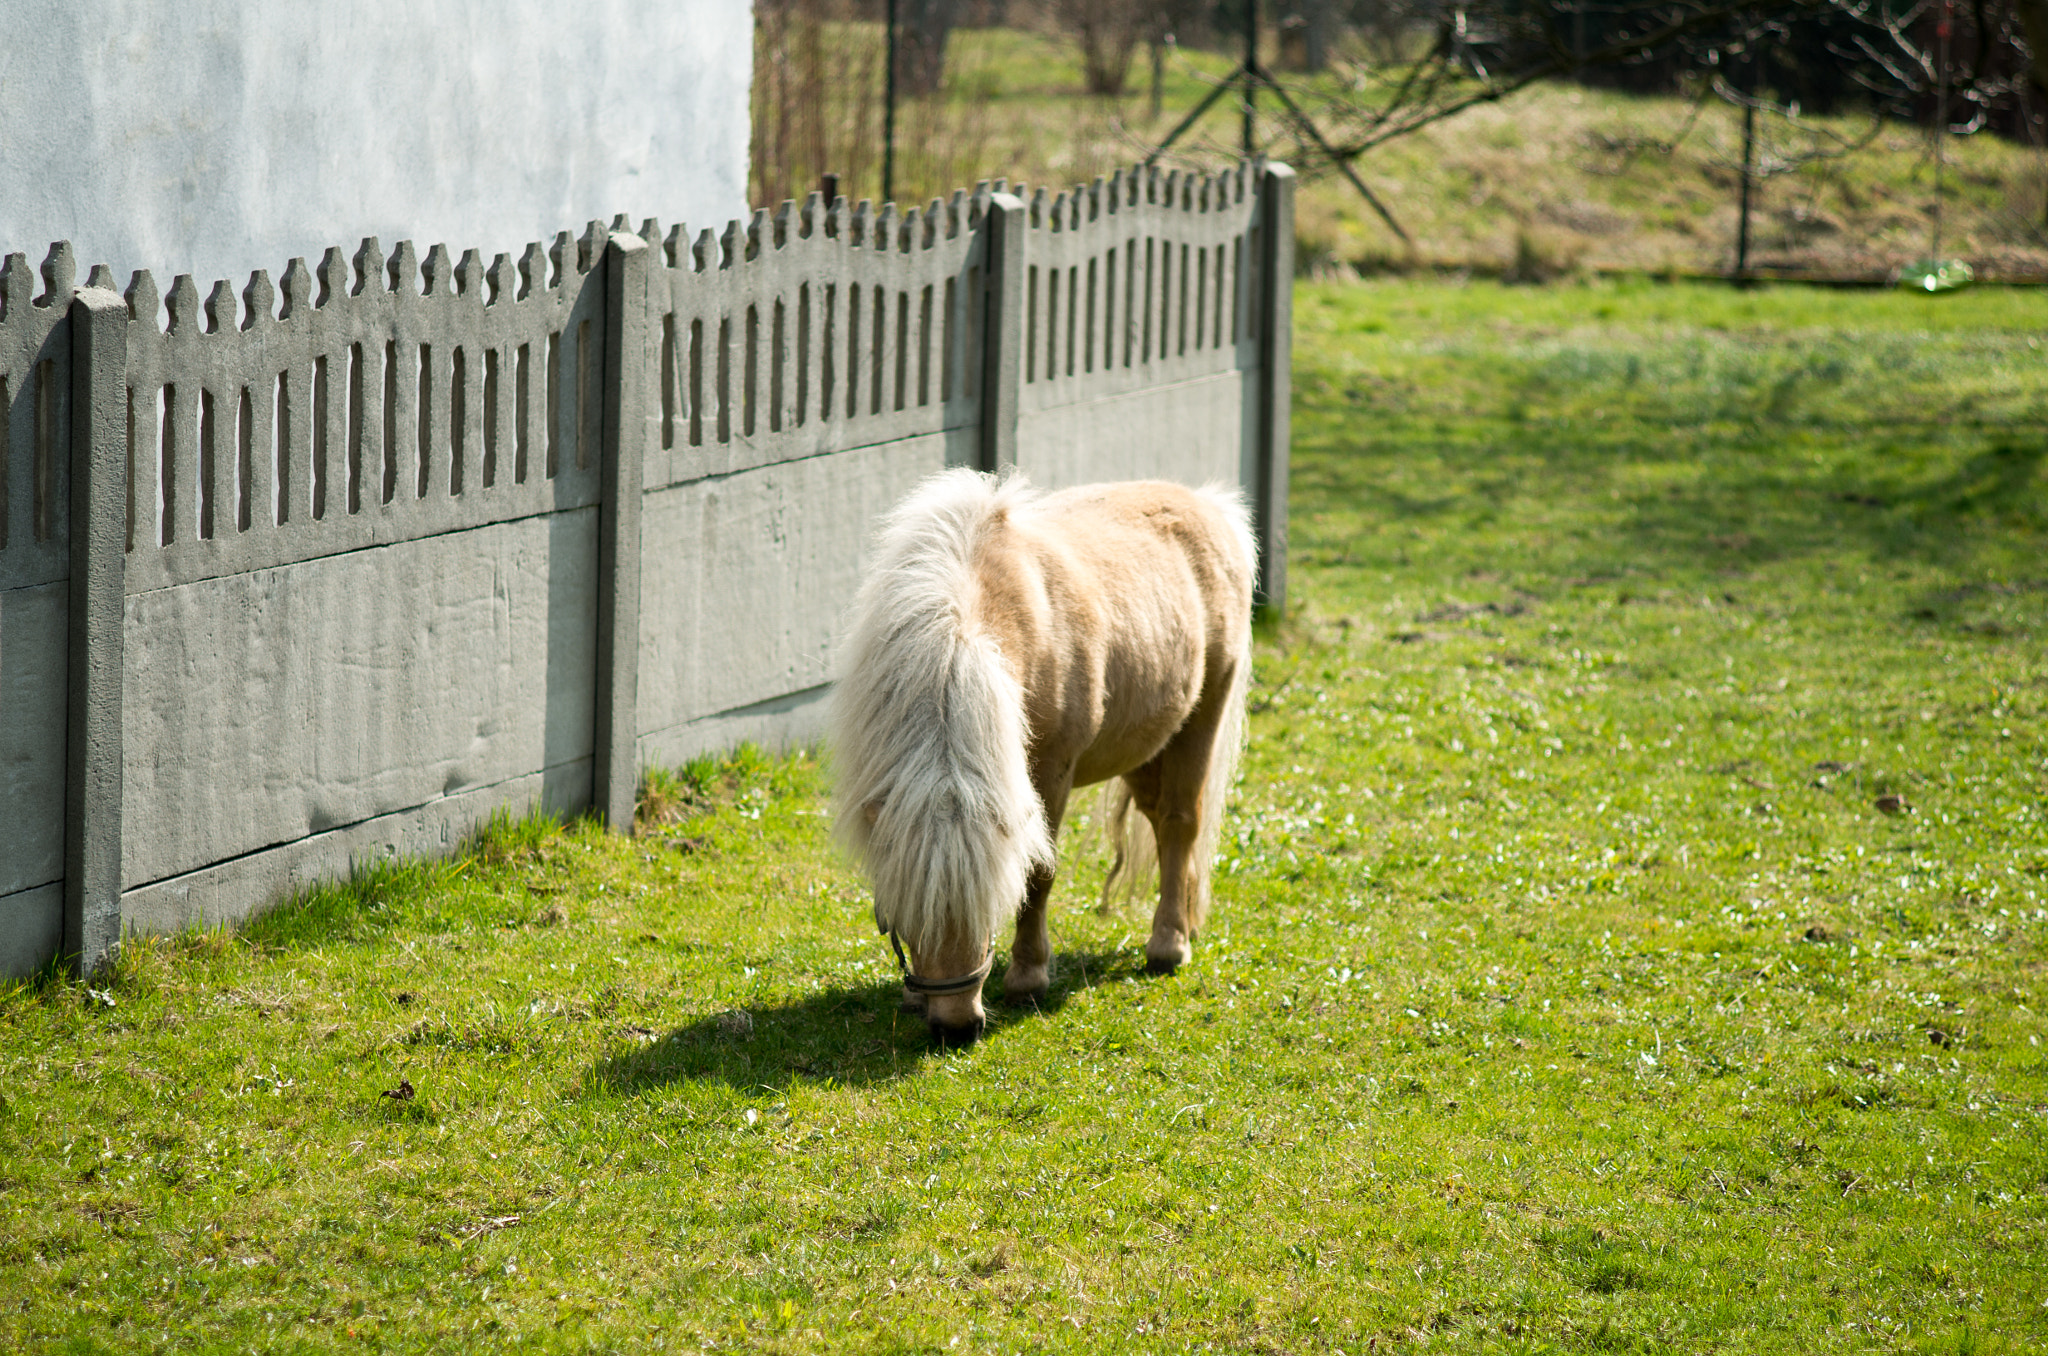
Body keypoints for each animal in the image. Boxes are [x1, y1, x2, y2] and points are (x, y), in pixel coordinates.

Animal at [827, 471, 1245, 1048]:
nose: (956, 1029)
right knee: (1161, 827)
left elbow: (1039, 874)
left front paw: (1028, 977)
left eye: (987, 902)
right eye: (917, 907)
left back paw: (1168, 945)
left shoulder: (1052, 772)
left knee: (1181, 824)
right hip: (1148, 749)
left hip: (1203, 718)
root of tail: (1207, 503)